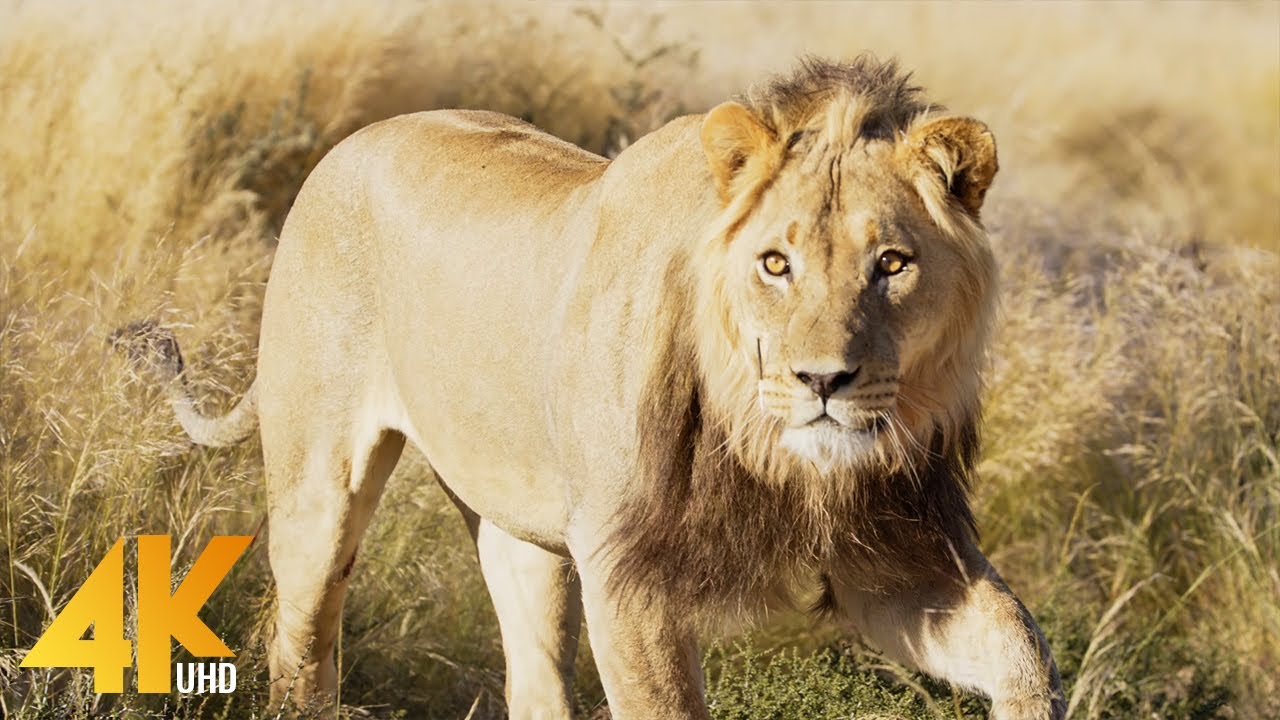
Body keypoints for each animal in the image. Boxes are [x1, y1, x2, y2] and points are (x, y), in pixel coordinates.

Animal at [122, 56, 1064, 719]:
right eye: (775, 264)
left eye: (894, 264)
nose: (823, 381)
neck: (776, 454)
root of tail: (343, 147)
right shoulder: (627, 576)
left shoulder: (890, 560)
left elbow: (1022, 645)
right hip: (321, 490)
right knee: (302, 647)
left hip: (519, 533)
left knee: (533, 682)